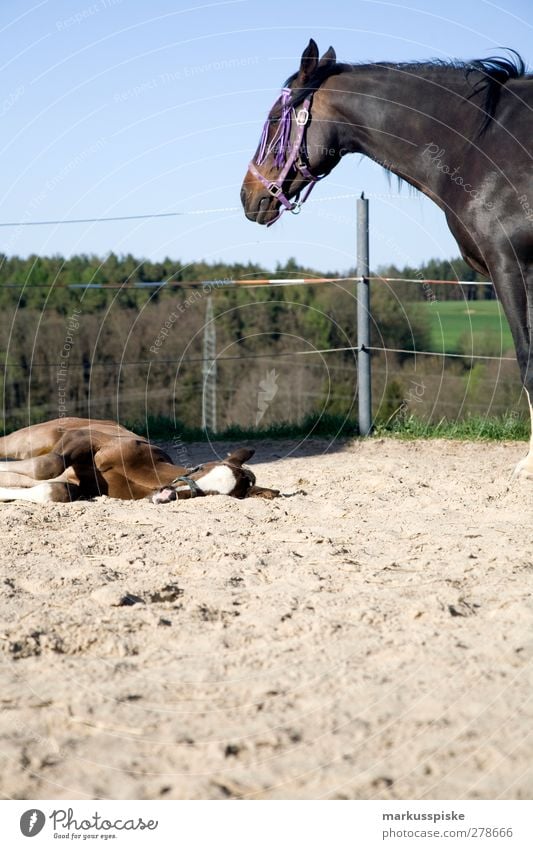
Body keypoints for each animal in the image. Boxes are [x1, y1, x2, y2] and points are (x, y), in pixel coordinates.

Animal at [0, 418, 278, 504]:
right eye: (201, 468)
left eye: (213, 494)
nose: (166, 495)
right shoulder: (82, 439)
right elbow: (48, 464)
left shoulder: (84, 487)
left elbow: (57, 490)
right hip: (28, 439)